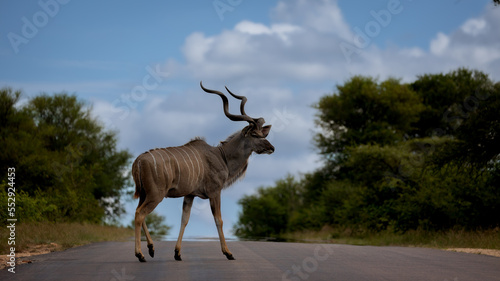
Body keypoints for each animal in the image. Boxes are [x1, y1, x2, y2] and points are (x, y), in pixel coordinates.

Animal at [131, 82, 276, 262]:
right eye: (255, 134)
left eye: (263, 133)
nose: (271, 148)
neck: (222, 156)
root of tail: (138, 161)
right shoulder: (215, 192)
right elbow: (219, 220)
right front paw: (228, 253)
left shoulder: (189, 195)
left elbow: (184, 220)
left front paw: (177, 253)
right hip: (156, 194)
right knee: (140, 214)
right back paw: (140, 254)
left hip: (145, 194)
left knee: (138, 212)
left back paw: (151, 249)